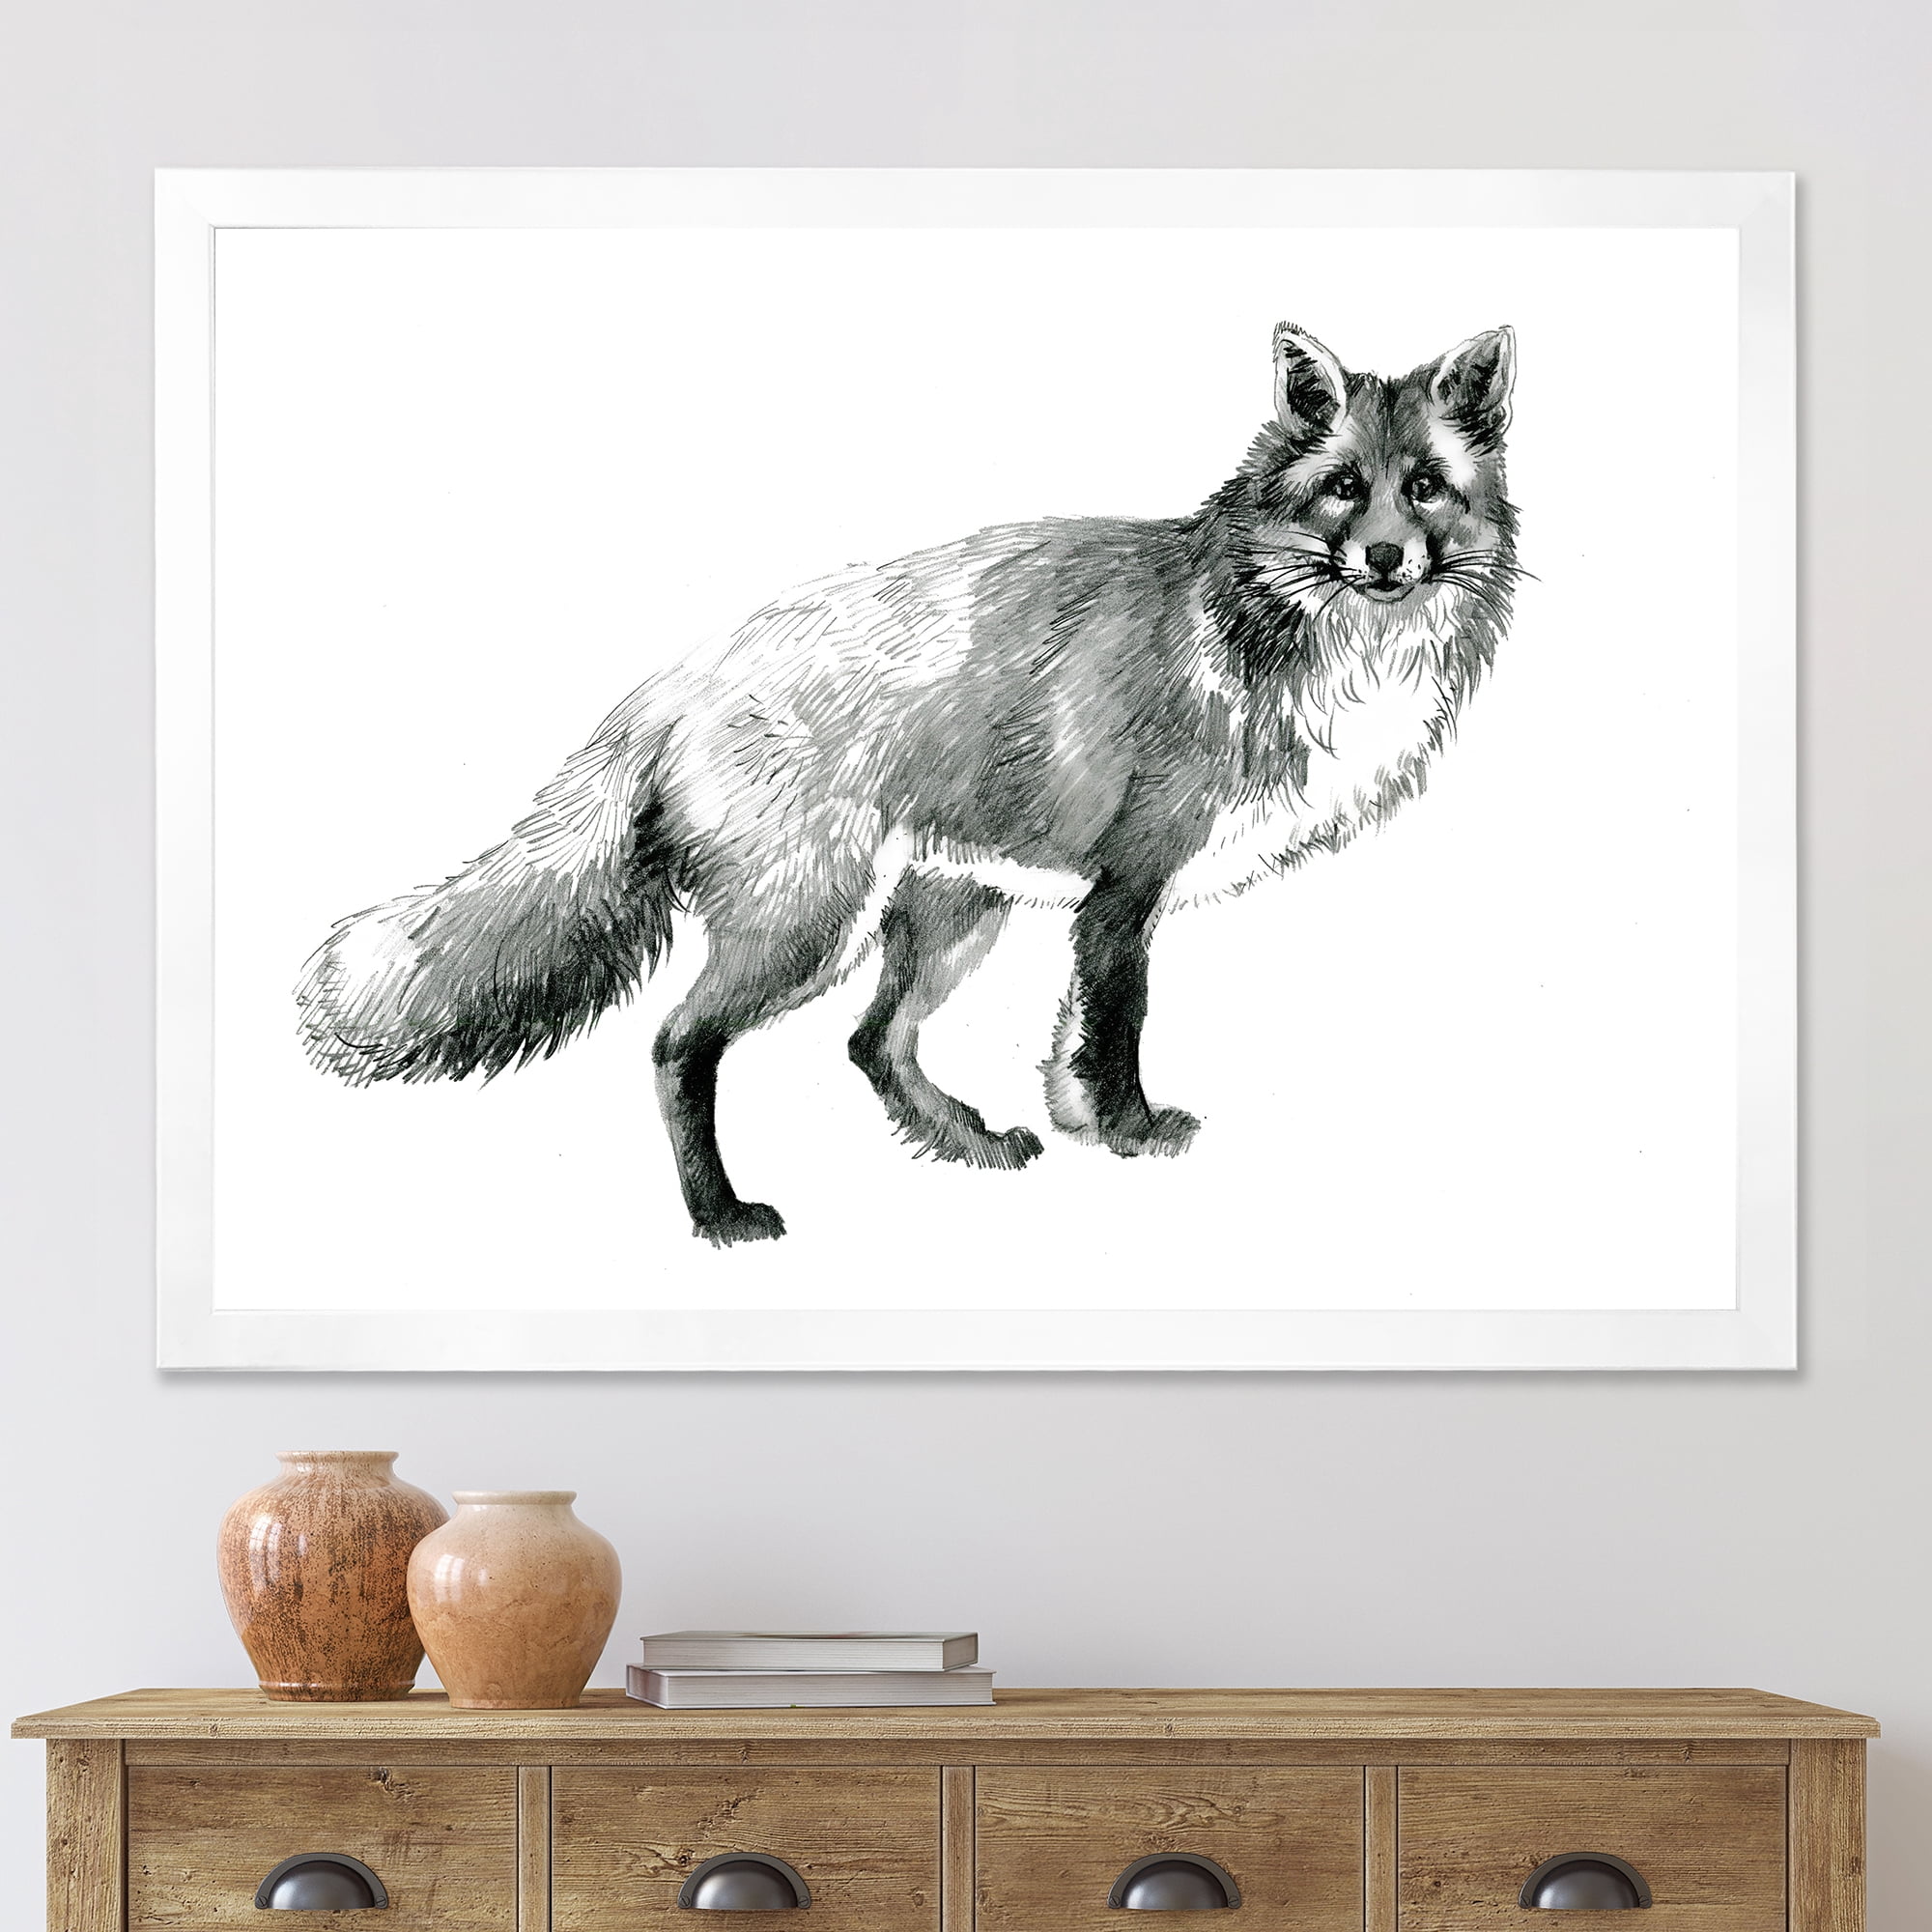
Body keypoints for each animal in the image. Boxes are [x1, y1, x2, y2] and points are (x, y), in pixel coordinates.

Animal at [297, 321, 1520, 1247]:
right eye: (1341, 489)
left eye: (1425, 488)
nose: (1384, 560)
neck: (1282, 634)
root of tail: (675, 681)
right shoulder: (1127, 888)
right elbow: (1114, 1036)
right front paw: (1130, 1135)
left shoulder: (1091, 905)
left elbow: (1068, 1046)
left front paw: (1080, 1130)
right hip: (807, 926)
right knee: (678, 1043)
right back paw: (721, 1215)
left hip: (947, 913)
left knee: (872, 1042)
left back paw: (963, 1142)